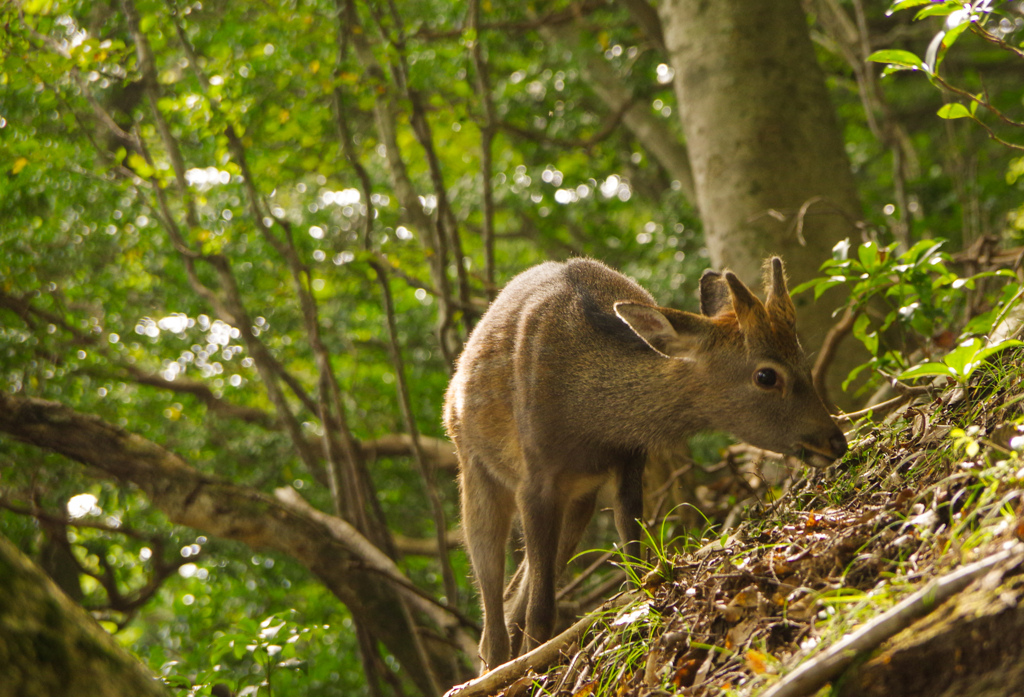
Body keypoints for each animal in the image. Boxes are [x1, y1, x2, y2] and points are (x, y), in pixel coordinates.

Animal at [444, 253, 851, 667]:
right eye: (766, 375)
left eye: (802, 359)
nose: (835, 440)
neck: (591, 421)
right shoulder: (536, 477)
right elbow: (541, 612)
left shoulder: (630, 459)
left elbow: (634, 556)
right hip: (473, 464)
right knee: (492, 601)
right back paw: (498, 666)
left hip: (579, 499)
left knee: (518, 590)